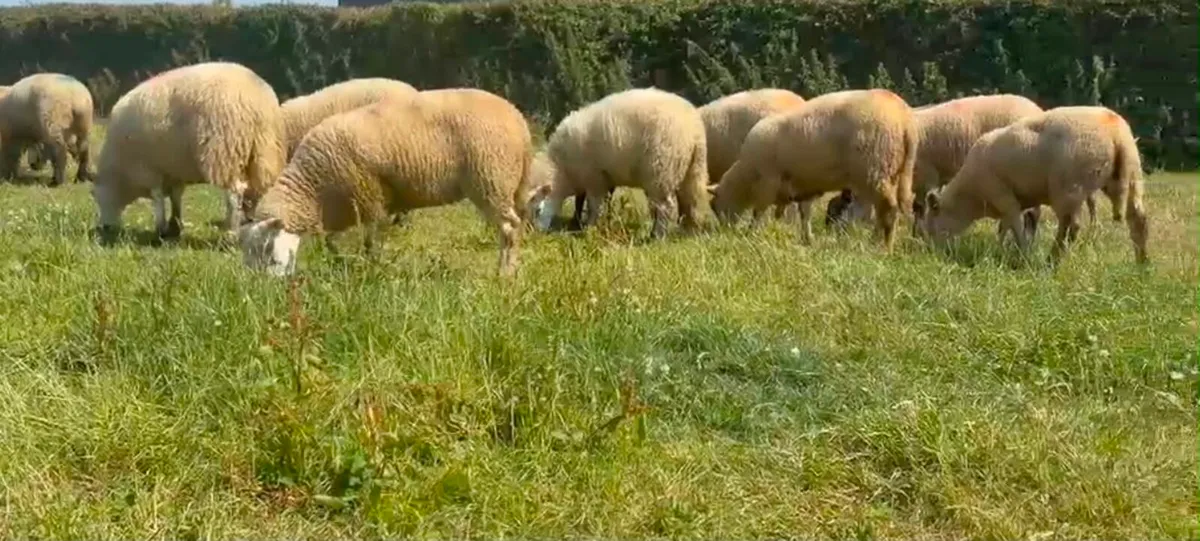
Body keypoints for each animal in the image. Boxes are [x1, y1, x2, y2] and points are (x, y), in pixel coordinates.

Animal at [91, 61, 286, 241]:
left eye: (97, 197)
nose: (105, 228)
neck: (119, 173)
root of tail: (259, 100)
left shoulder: (148, 170)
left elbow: (158, 199)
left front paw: (161, 229)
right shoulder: (174, 171)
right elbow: (176, 198)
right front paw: (174, 227)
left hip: (224, 154)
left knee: (234, 194)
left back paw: (232, 233)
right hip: (264, 152)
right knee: (259, 189)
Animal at [238, 88, 535, 277]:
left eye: (266, 251)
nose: (264, 290)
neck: (312, 190)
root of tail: (519, 122)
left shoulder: (369, 197)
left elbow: (371, 240)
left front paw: (372, 267)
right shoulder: (347, 209)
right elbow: (332, 242)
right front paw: (341, 261)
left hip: (491, 180)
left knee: (509, 228)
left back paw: (504, 274)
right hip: (512, 185)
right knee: (518, 224)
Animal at [531, 87, 708, 239]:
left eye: (537, 210)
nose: (536, 232)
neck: (562, 172)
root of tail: (695, 131)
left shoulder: (593, 177)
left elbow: (594, 206)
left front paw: (589, 228)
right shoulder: (601, 178)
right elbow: (586, 202)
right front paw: (587, 223)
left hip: (661, 170)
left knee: (665, 207)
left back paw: (657, 236)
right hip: (690, 169)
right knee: (690, 202)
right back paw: (689, 232)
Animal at [708, 88, 917, 249]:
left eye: (715, 207)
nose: (723, 231)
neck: (747, 175)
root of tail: (905, 118)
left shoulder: (768, 181)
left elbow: (758, 212)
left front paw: (751, 233)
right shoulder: (803, 186)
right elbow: (805, 214)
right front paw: (807, 238)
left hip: (876, 170)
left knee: (888, 211)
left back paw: (883, 247)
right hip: (896, 172)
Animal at [918, 105, 1149, 264]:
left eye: (932, 225)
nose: (931, 253)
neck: (972, 197)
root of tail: (1114, 130)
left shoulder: (1004, 197)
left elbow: (1016, 227)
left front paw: (1023, 255)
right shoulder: (1011, 202)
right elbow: (1004, 228)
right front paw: (1001, 249)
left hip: (1069, 188)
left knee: (1071, 227)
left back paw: (1052, 261)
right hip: (1131, 175)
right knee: (1138, 219)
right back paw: (1142, 262)